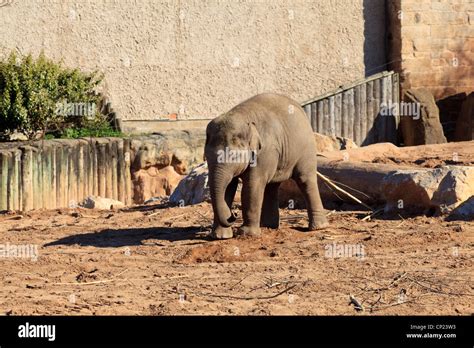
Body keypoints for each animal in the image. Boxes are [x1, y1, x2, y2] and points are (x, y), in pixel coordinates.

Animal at [204, 92, 330, 239]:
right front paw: (220, 236)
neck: (243, 117)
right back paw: (268, 226)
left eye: (233, 156)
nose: (233, 215)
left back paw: (319, 227)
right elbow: (229, 187)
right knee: (272, 186)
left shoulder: (264, 152)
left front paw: (246, 234)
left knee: (305, 180)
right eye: (207, 157)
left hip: (306, 148)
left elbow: (252, 185)